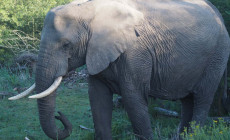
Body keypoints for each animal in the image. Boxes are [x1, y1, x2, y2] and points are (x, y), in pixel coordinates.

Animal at [8, 0, 230, 139]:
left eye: (66, 45)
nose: (59, 115)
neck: (89, 10)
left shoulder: (136, 52)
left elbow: (133, 98)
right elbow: (97, 98)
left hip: (218, 54)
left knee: (202, 98)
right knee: (187, 100)